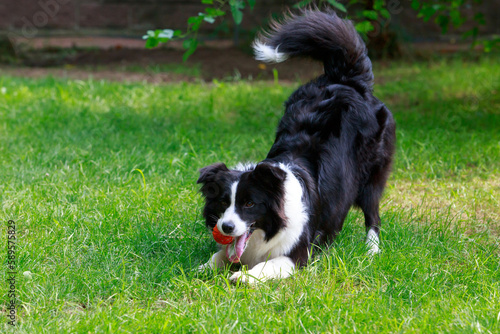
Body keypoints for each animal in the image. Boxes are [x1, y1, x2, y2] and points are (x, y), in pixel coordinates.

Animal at [195, 9, 394, 282]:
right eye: (224, 202)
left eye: (249, 204)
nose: (226, 227)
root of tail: (348, 80)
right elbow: (219, 256)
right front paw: (202, 267)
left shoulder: (298, 254)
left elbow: (267, 265)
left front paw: (244, 277)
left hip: (373, 173)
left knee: (372, 213)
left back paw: (372, 250)